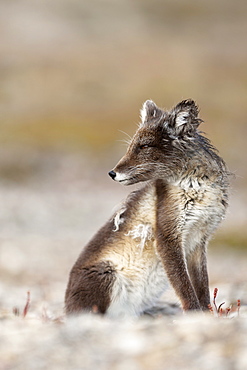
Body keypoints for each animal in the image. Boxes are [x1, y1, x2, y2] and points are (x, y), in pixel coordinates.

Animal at [64, 99, 230, 318]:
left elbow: (202, 288)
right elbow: (185, 290)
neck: (196, 188)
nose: (112, 173)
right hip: (106, 274)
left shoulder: (199, 240)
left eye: (144, 146)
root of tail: (66, 306)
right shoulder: (167, 237)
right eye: (132, 145)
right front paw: (195, 315)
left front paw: (206, 315)